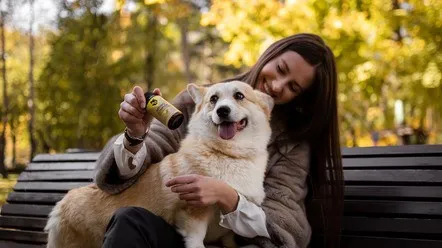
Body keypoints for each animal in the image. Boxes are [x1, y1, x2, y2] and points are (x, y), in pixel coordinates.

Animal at [44, 80, 272, 247]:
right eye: (214, 99)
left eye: (239, 96)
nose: (222, 111)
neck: (229, 154)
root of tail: (61, 204)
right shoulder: (194, 216)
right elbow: (196, 240)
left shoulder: (228, 229)